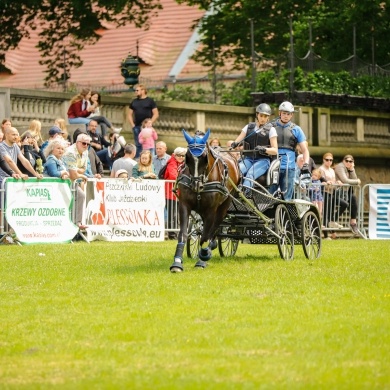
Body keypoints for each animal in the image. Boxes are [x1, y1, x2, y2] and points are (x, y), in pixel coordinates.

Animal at [171, 129, 241, 272]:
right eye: (187, 157)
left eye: (204, 157)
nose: (196, 185)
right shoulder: (184, 205)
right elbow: (183, 234)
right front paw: (177, 262)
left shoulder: (211, 210)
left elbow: (205, 236)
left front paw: (202, 258)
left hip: (224, 205)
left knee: (214, 227)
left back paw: (209, 249)